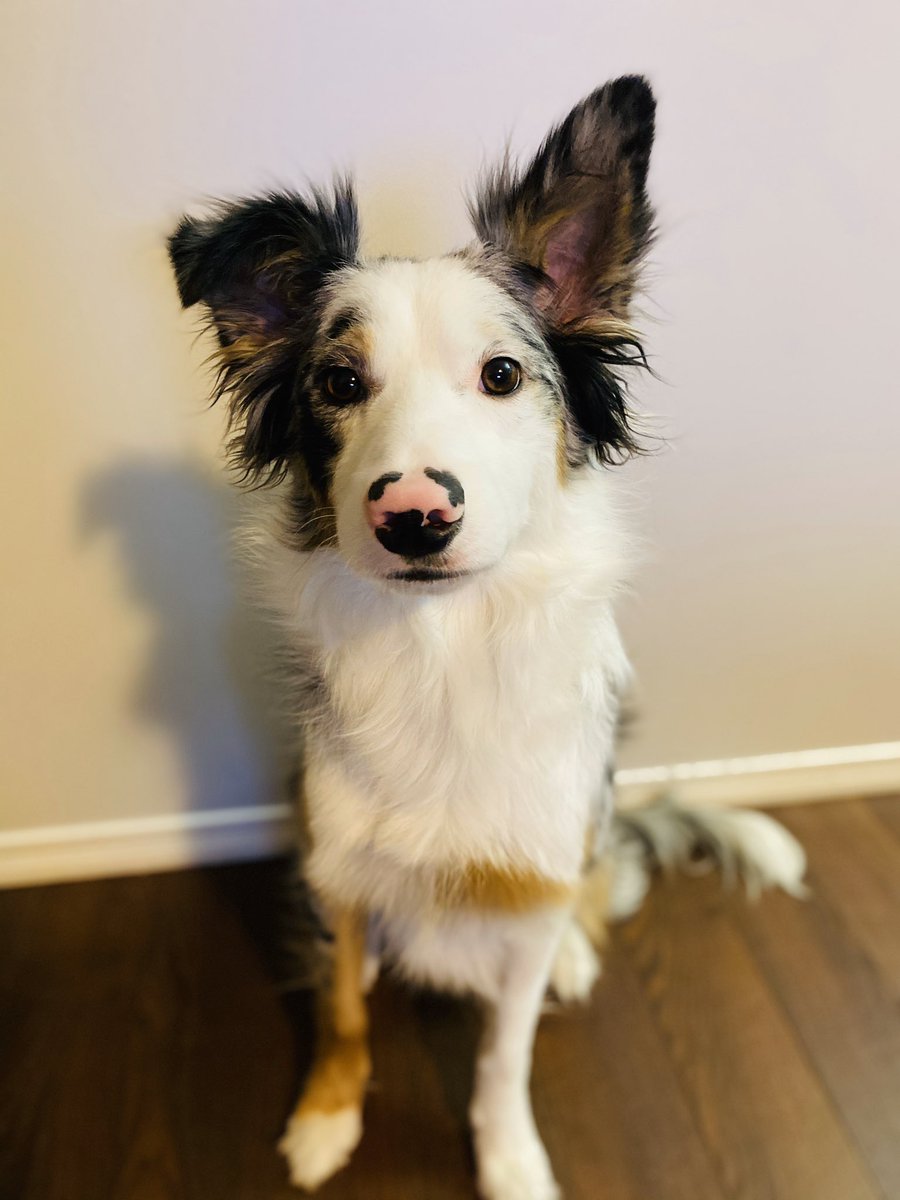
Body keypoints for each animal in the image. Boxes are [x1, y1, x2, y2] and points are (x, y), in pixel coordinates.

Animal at [169, 75, 811, 1200]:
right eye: (340, 384)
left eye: (503, 374)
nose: (415, 516)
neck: (445, 648)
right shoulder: (336, 867)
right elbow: (343, 1008)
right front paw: (327, 1119)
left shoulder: (535, 879)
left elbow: (506, 1054)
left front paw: (510, 1159)